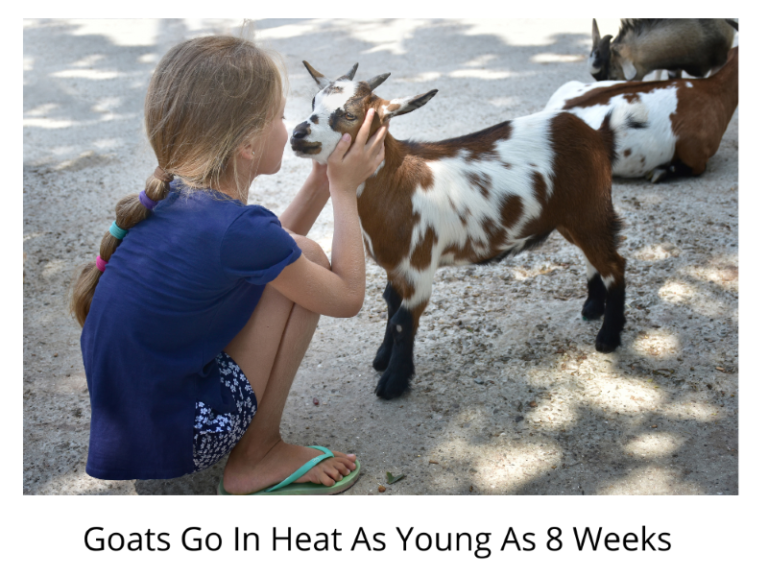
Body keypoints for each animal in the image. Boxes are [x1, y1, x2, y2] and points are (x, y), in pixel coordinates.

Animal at [291, 62, 628, 399]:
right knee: (593, 257)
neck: (398, 183)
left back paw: (608, 336)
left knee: (614, 264)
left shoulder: (418, 267)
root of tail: (596, 134)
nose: (297, 134)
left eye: (350, 114)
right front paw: (383, 359)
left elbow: (402, 322)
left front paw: (394, 382)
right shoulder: (396, 267)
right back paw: (593, 307)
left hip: (590, 208)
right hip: (573, 218)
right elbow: (389, 305)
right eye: (313, 103)